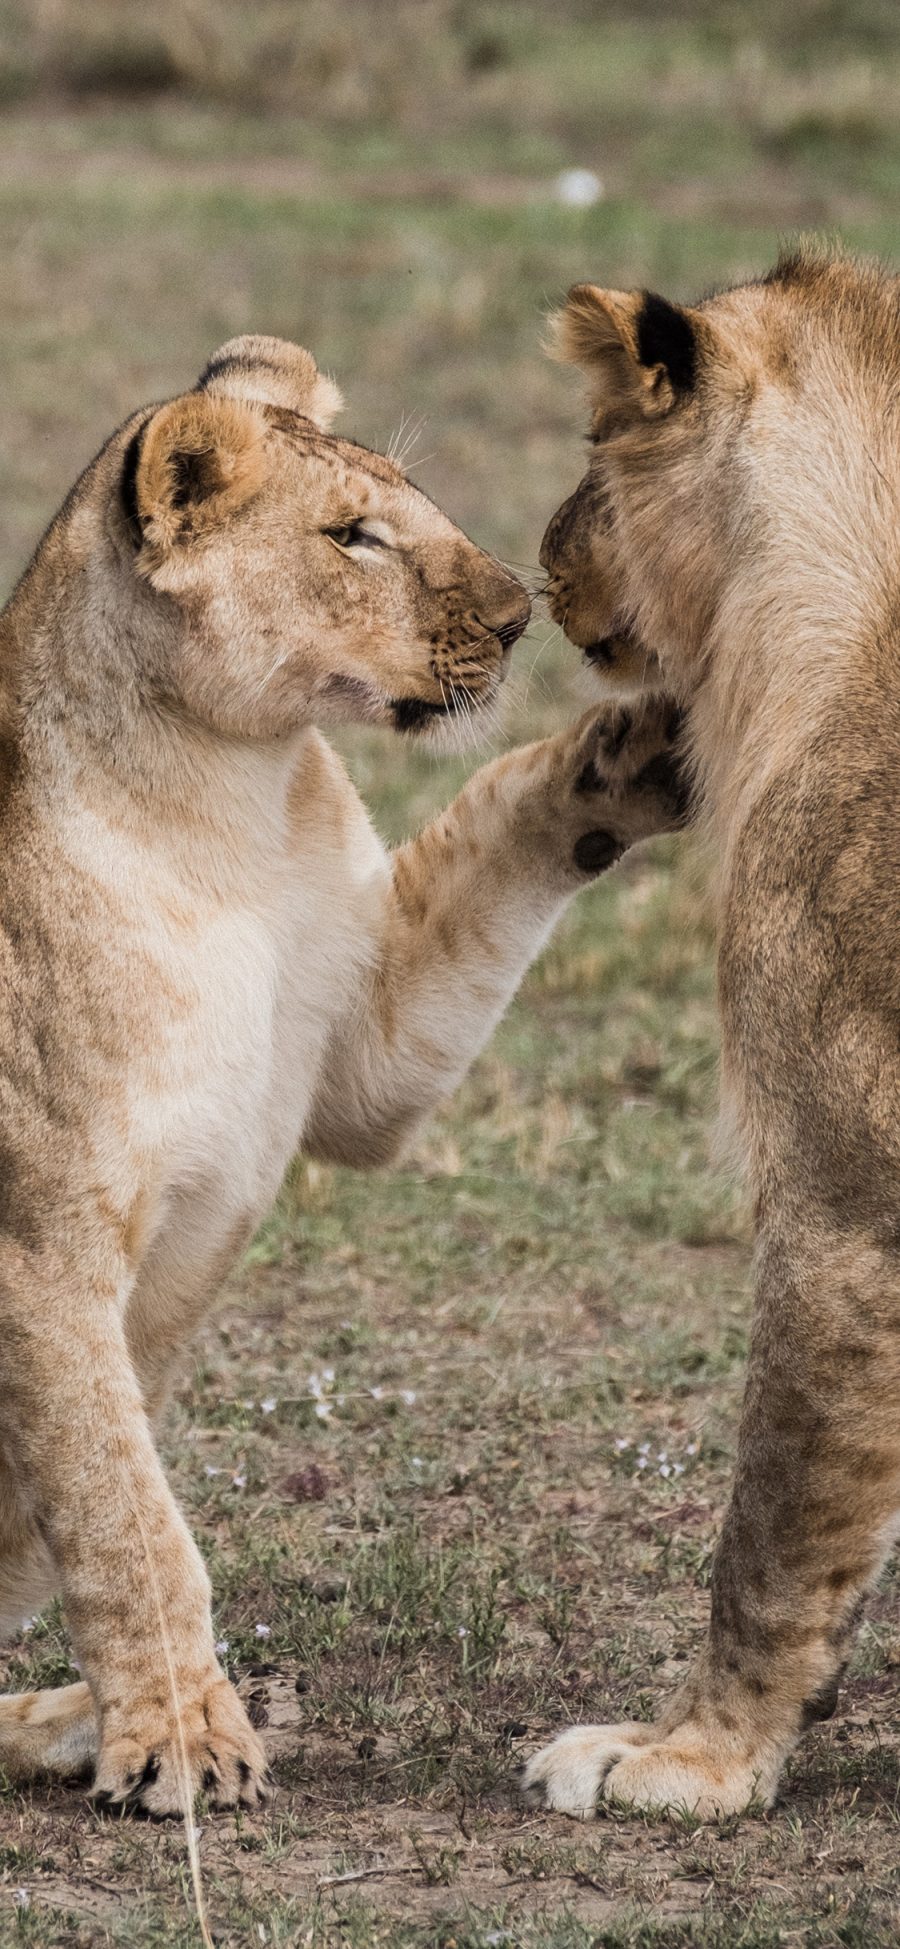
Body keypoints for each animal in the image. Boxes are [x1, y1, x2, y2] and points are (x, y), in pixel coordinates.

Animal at [0, 331, 681, 1808]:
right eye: (353, 535)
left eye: (407, 501)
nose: (521, 615)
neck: (226, 802)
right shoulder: (39, 1246)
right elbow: (128, 1517)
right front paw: (181, 1738)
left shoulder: (368, 1043)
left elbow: (494, 829)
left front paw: (637, 744)